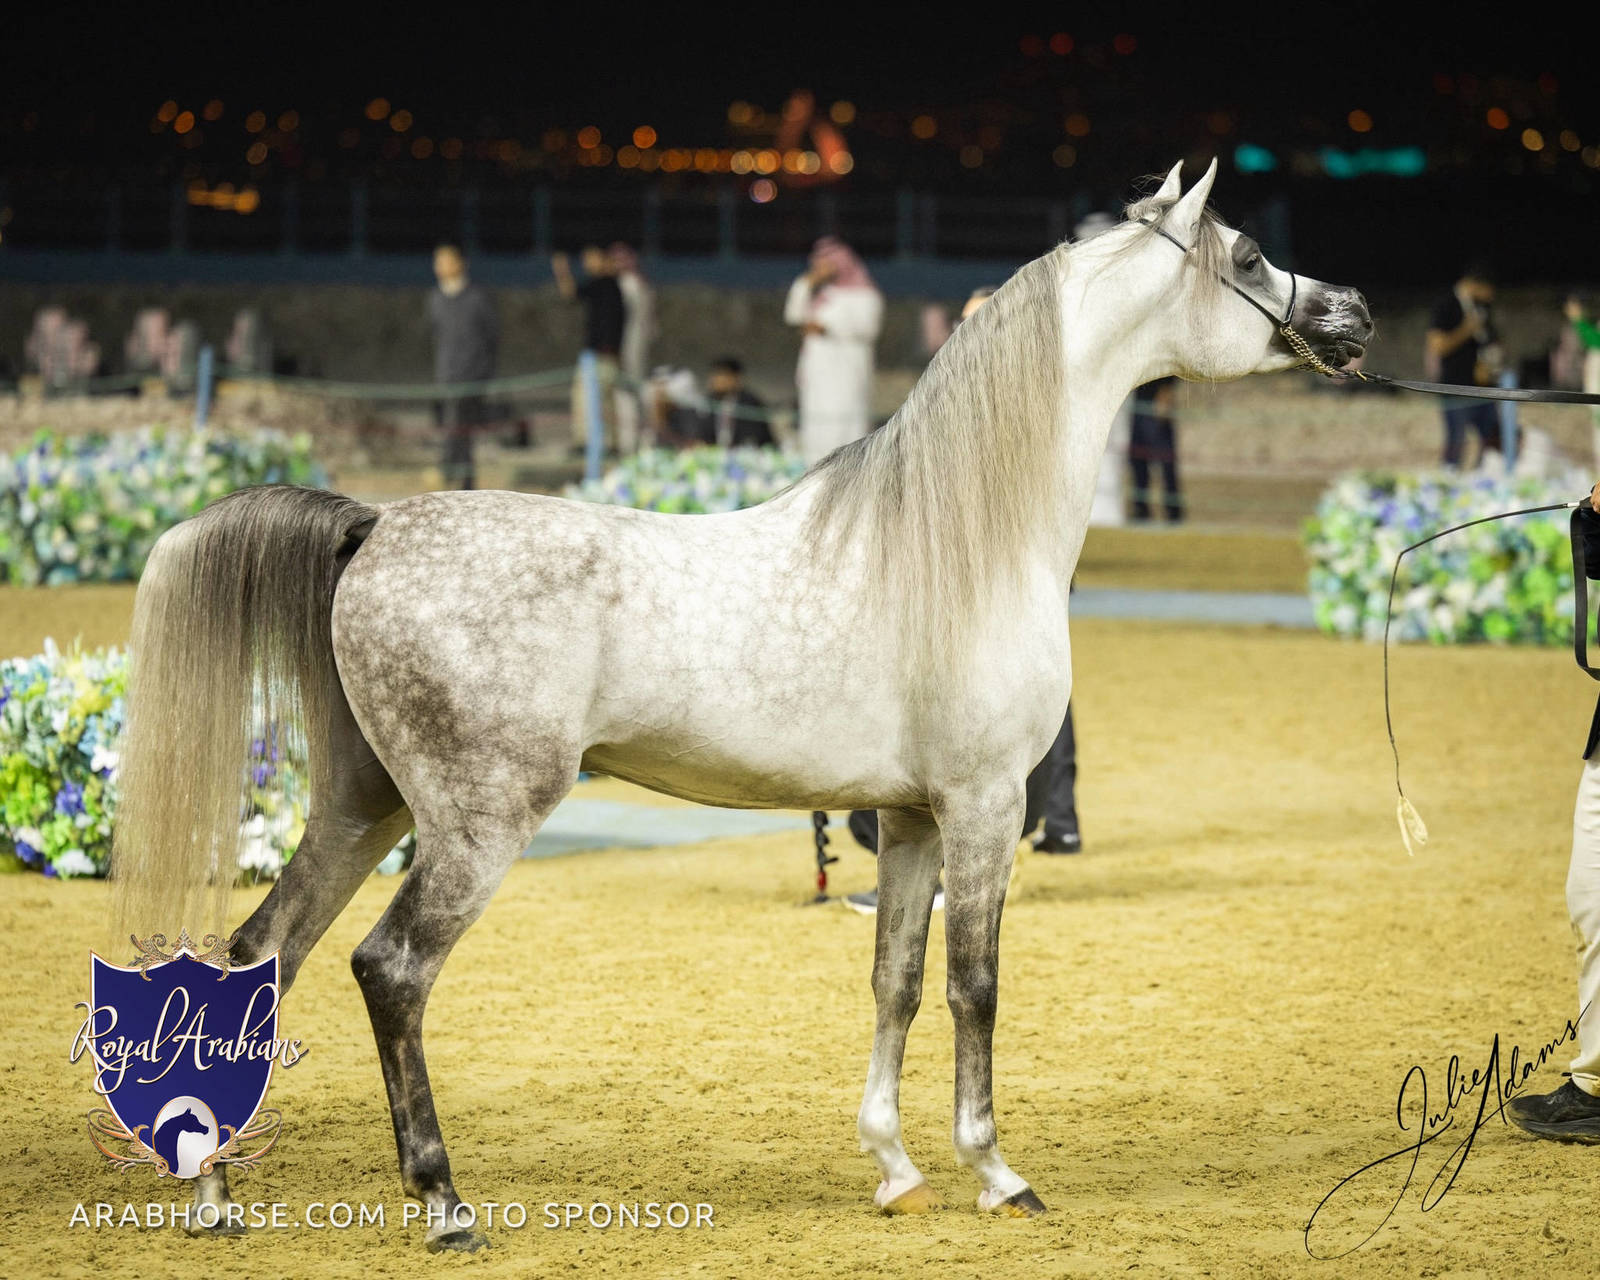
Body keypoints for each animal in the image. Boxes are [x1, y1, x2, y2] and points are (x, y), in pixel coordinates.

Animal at [111, 159, 1372, 1251]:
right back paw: (444, 1201)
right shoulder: (984, 806)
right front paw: (995, 1171)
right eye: (1248, 253)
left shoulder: (910, 818)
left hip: (359, 805)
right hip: (473, 825)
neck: (963, 538)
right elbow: (974, 986)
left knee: (252, 958)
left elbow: (894, 981)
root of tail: (374, 522)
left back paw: (215, 1191)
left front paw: (896, 1168)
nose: (1352, 313)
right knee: (389, 970)